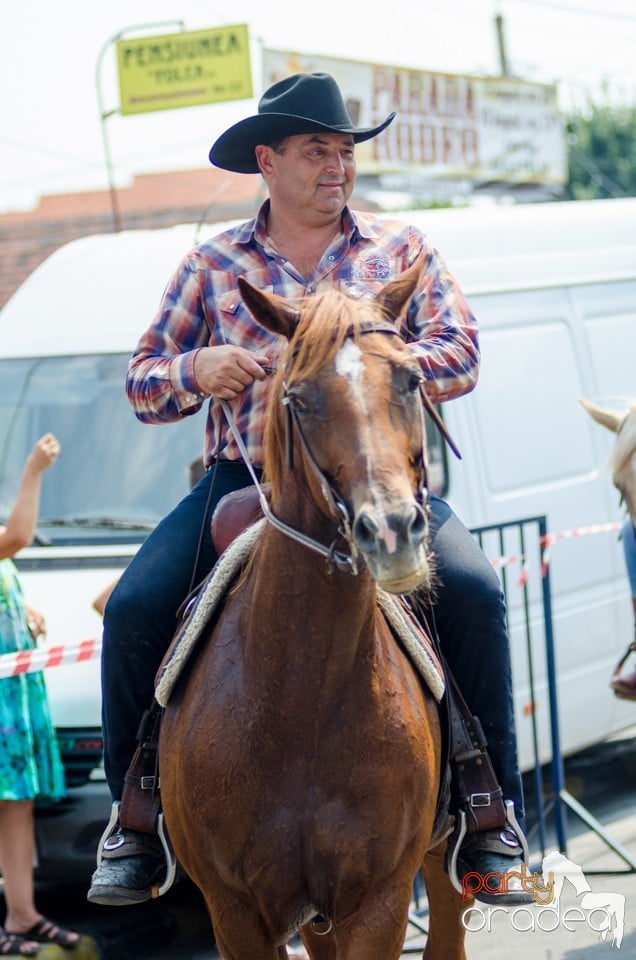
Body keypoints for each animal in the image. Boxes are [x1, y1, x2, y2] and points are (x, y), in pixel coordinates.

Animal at [159, 264, 468, 960]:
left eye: (411, 379)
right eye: (298, 400)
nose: (392, 532)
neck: (303, 695)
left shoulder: (377, 901)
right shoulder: (236, 911)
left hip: (440, 862)